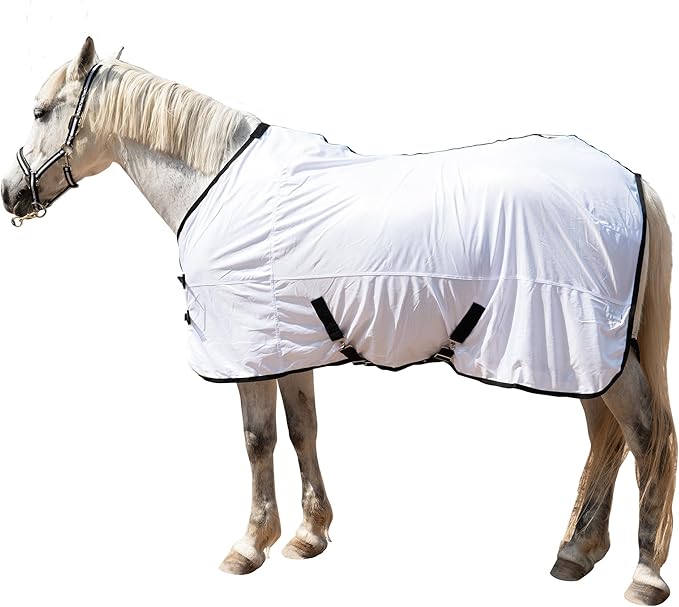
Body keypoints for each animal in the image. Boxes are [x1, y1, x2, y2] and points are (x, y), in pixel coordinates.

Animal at [1, 37, 675, 606]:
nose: (11, 193)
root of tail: (631, 180)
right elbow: (303, 431)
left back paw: (642, 575)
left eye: (39, 110)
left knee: (646, 435)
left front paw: (249, 545)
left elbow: (258, 440)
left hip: (593, 351)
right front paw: (308, 535)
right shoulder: (287, 344)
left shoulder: (246, 350)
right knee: (607, 438)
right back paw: (576, 552)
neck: (217, 183)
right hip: (586, 357)